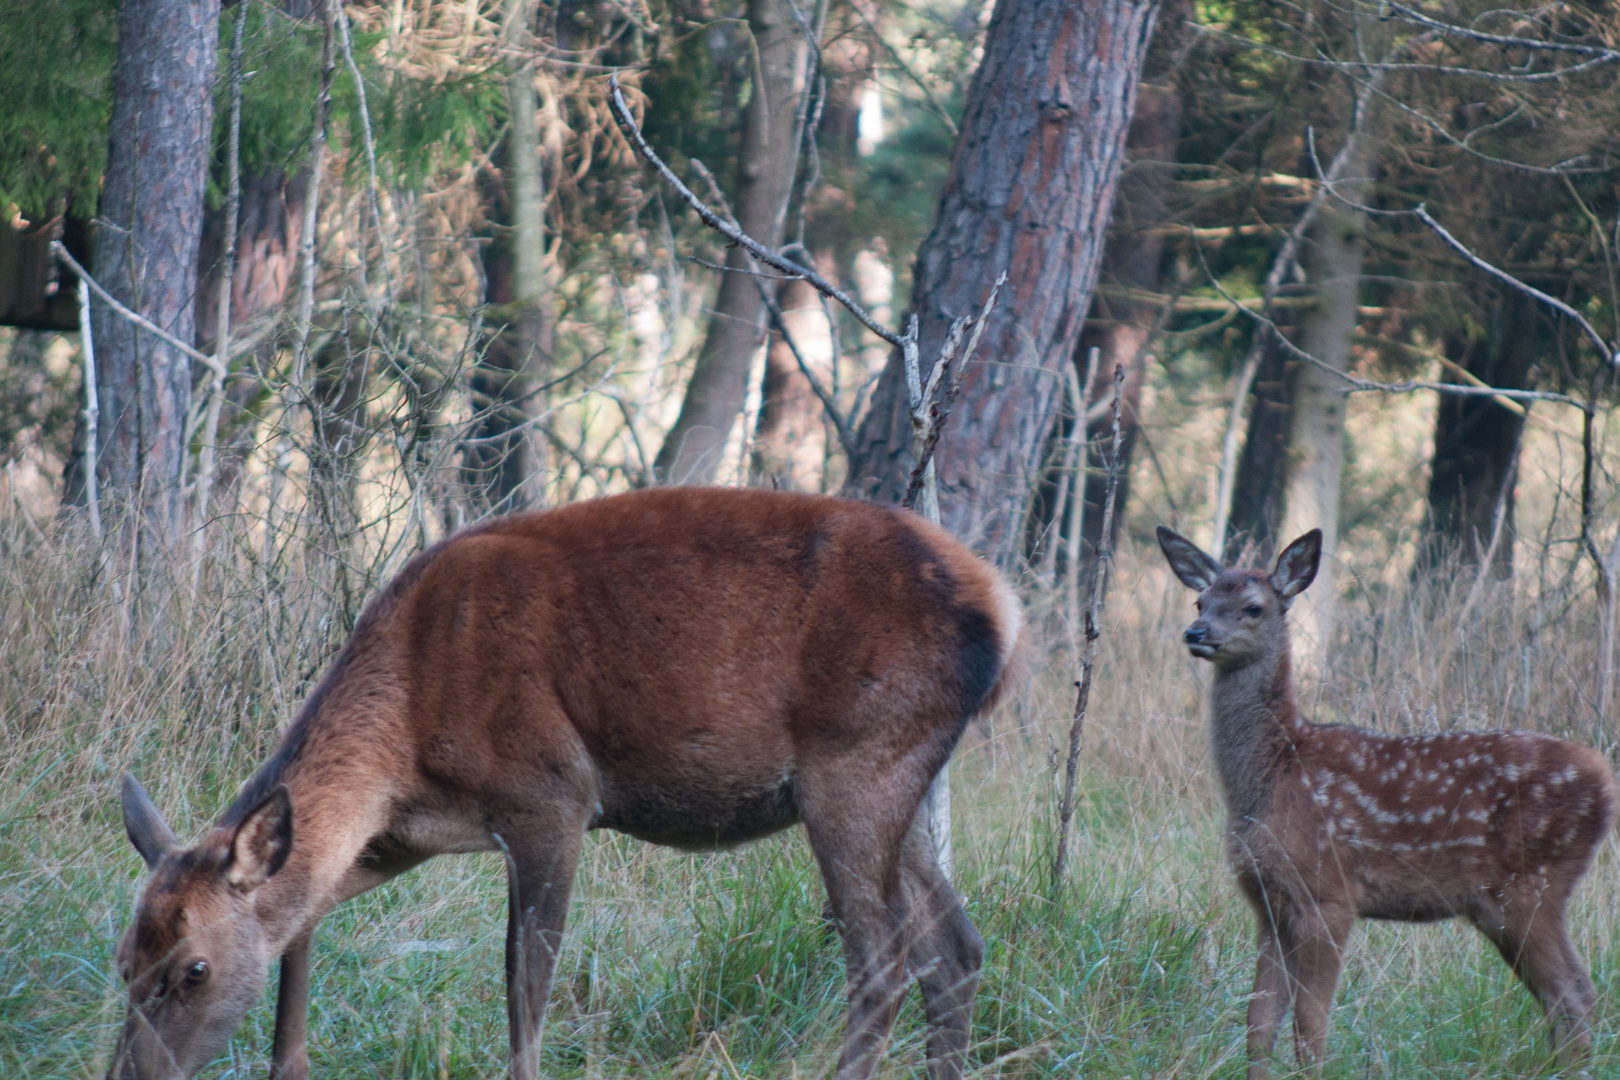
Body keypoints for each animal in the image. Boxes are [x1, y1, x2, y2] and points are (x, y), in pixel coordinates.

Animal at [110, 488, 1023, 1080]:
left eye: (193, 970)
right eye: (122, 960)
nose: (129, 1077)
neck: (406, 727)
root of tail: (1004, 611)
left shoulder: (549, 794)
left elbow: (525, 984)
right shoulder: (400, 836)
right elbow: (300, 917)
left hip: (854, 767)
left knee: (882, 960)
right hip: (908, 783)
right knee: (957, 951)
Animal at [1159, 527, 1613, 1075]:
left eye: (1253, 607)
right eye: (1200, 599)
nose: (1196, 632)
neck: (1271, 776)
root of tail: (1605, 780)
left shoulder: (1329, 892)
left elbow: (1310, 1025)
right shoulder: (1268, 901)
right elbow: (1259, 1023)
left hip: (1531, 885)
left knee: (1575, 993)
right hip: (1510, 902)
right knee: (1561, 999)